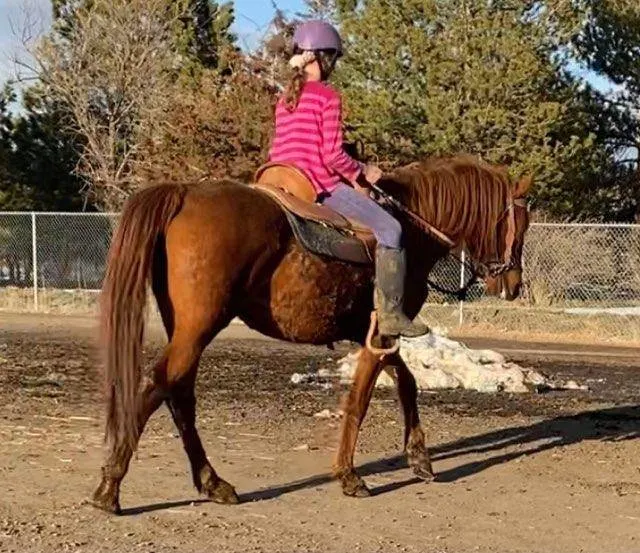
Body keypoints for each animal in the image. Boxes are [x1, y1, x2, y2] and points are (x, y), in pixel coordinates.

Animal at [91, 155, 531, 513]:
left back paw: (213, 483)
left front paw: (419, 457)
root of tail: (184, 193)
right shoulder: (379, 335)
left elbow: (406, 383)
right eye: (520, 224)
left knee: (179, 394)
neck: (411, 227)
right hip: (198, 328)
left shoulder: (381, 335)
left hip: (186, 330)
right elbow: (359, 401)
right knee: (158, 385)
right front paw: (349, 475)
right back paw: (110, 486)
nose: (513, 284)